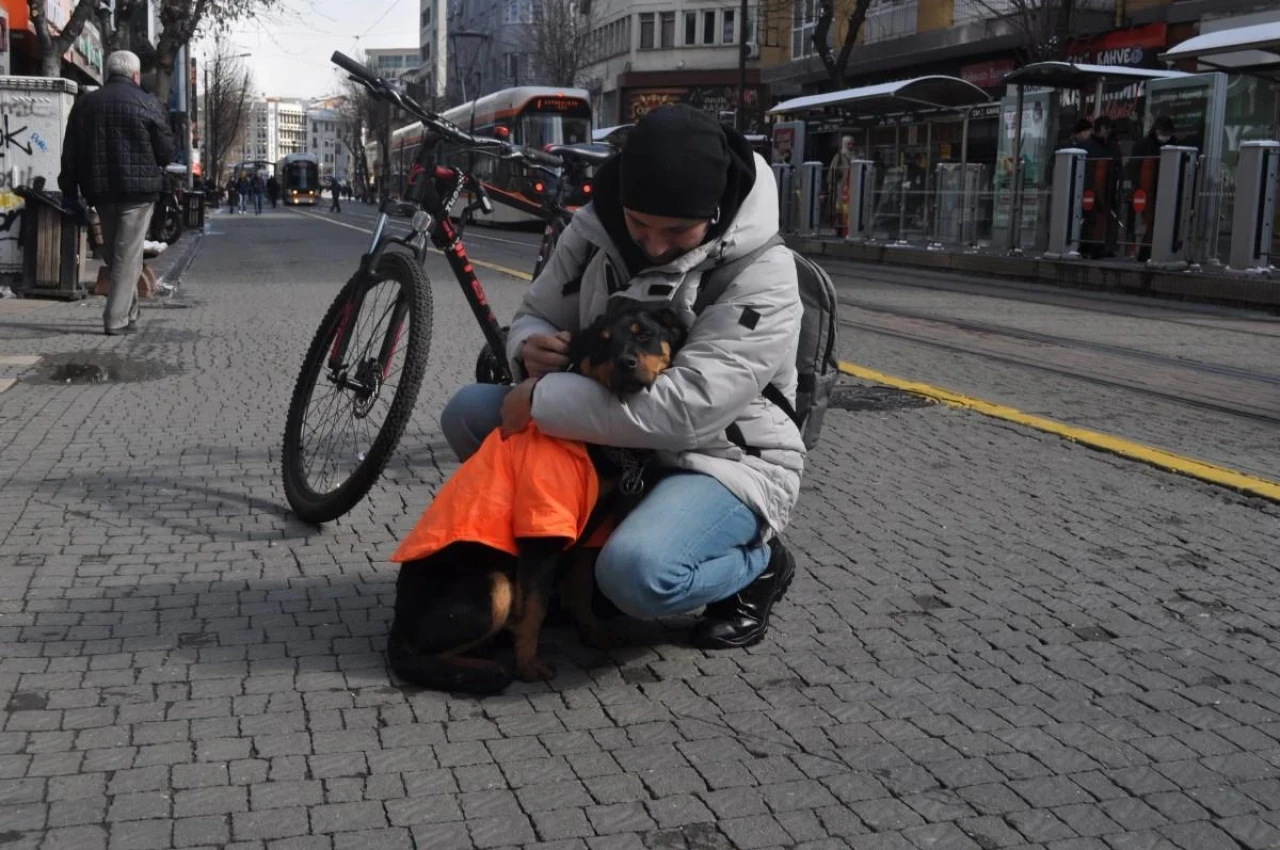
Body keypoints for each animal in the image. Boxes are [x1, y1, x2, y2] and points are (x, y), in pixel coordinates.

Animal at [389, 302, 691, 696]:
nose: (626, 362)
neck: (595, 442)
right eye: (602, 343)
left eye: (645, 334)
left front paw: (595, 635)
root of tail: (397, 629)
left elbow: (579, 589)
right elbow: (533, 608)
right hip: (495, 585)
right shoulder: (542, 532)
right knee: (428, 655)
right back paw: (485, 667)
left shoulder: (589, 532)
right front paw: (529, 666)